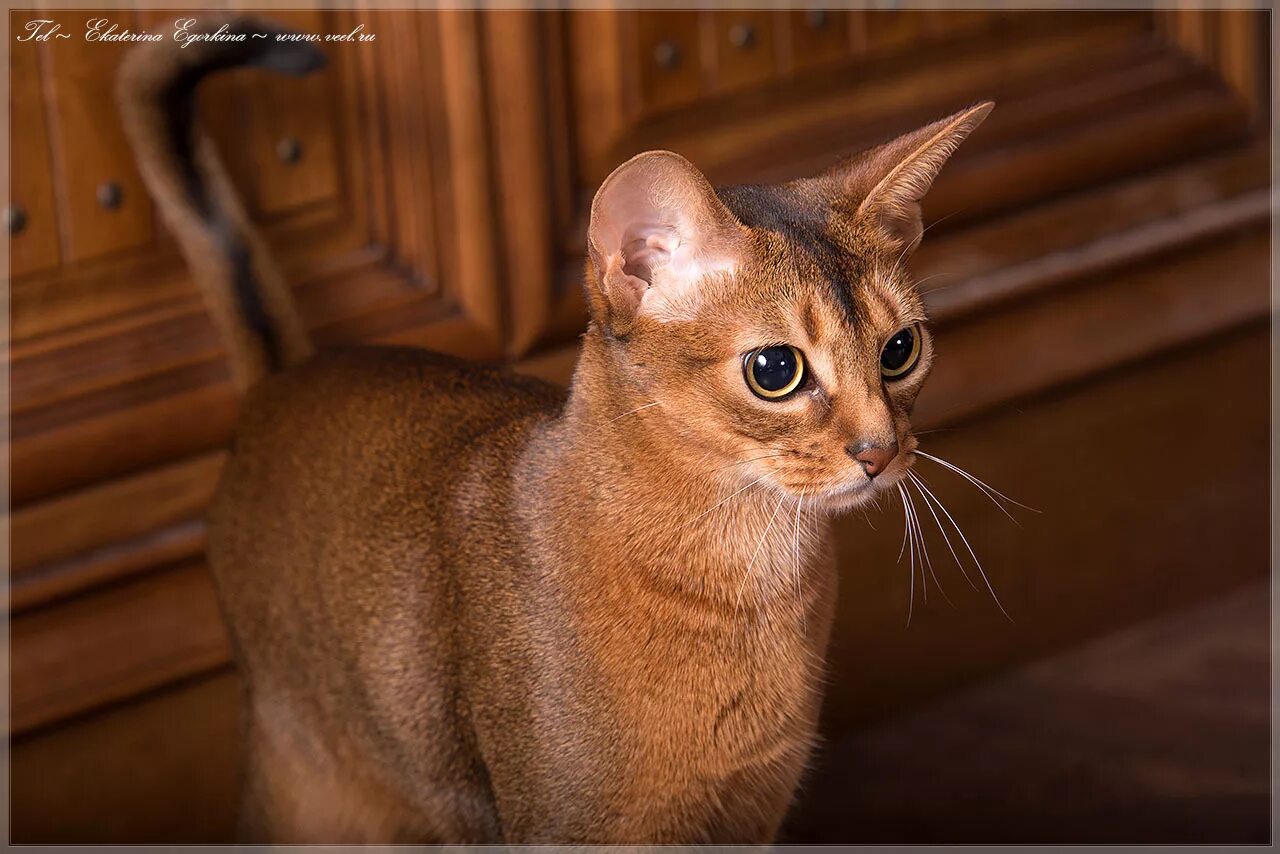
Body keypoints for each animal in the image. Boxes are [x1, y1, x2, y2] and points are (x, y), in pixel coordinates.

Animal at [120, 16, 988, 845]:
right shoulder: (564, 822)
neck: (745, 578)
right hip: (307, 784)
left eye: (900, 350)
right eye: (775, 370)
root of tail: (284, 379)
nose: (881, 452)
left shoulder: (752, 810)